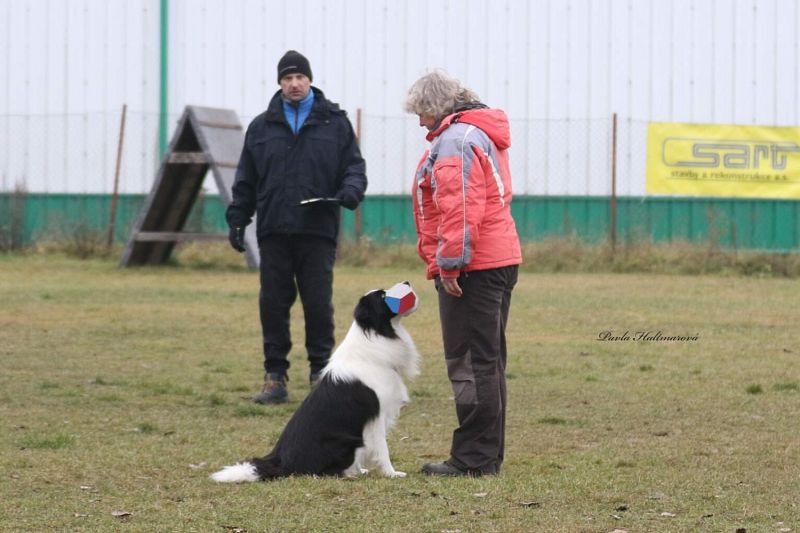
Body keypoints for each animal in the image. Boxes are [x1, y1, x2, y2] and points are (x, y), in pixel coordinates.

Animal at [212, 280, 422, 480]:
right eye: (383, 296)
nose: (407, 282)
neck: (376, 333)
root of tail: (279, 461)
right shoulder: (376, 415)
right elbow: (382, 448)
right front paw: (392, 474)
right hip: (346, 442)